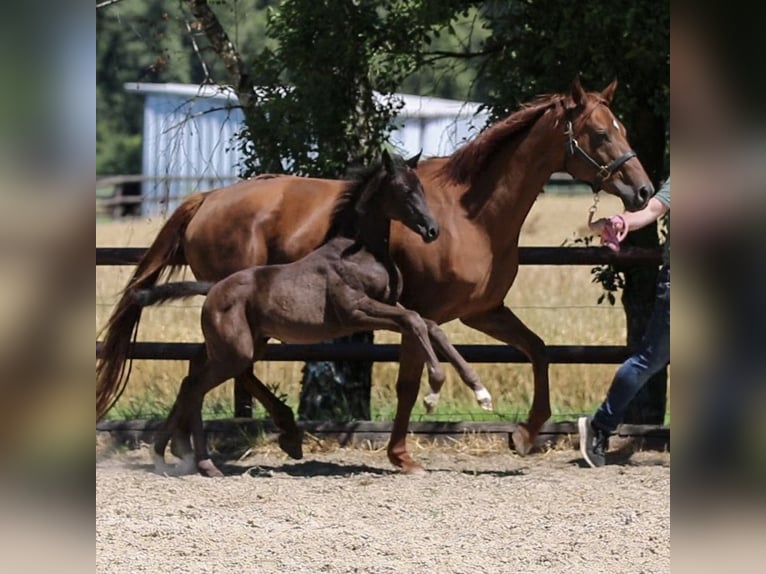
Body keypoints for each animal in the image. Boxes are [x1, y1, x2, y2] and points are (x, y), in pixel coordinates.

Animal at [97, 78, 654, 474]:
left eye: (625, 129)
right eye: (600, 133)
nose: (644, 191)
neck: (470, 214)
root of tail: (207, 198)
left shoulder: (482, 312)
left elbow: (538, 350)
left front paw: (524, 433)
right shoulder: (425, 313)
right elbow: (410, 382)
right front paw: (402, 454)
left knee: (206, 364)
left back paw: (183, 449)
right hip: (245, 310)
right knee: (230, 367)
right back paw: (276, 435)